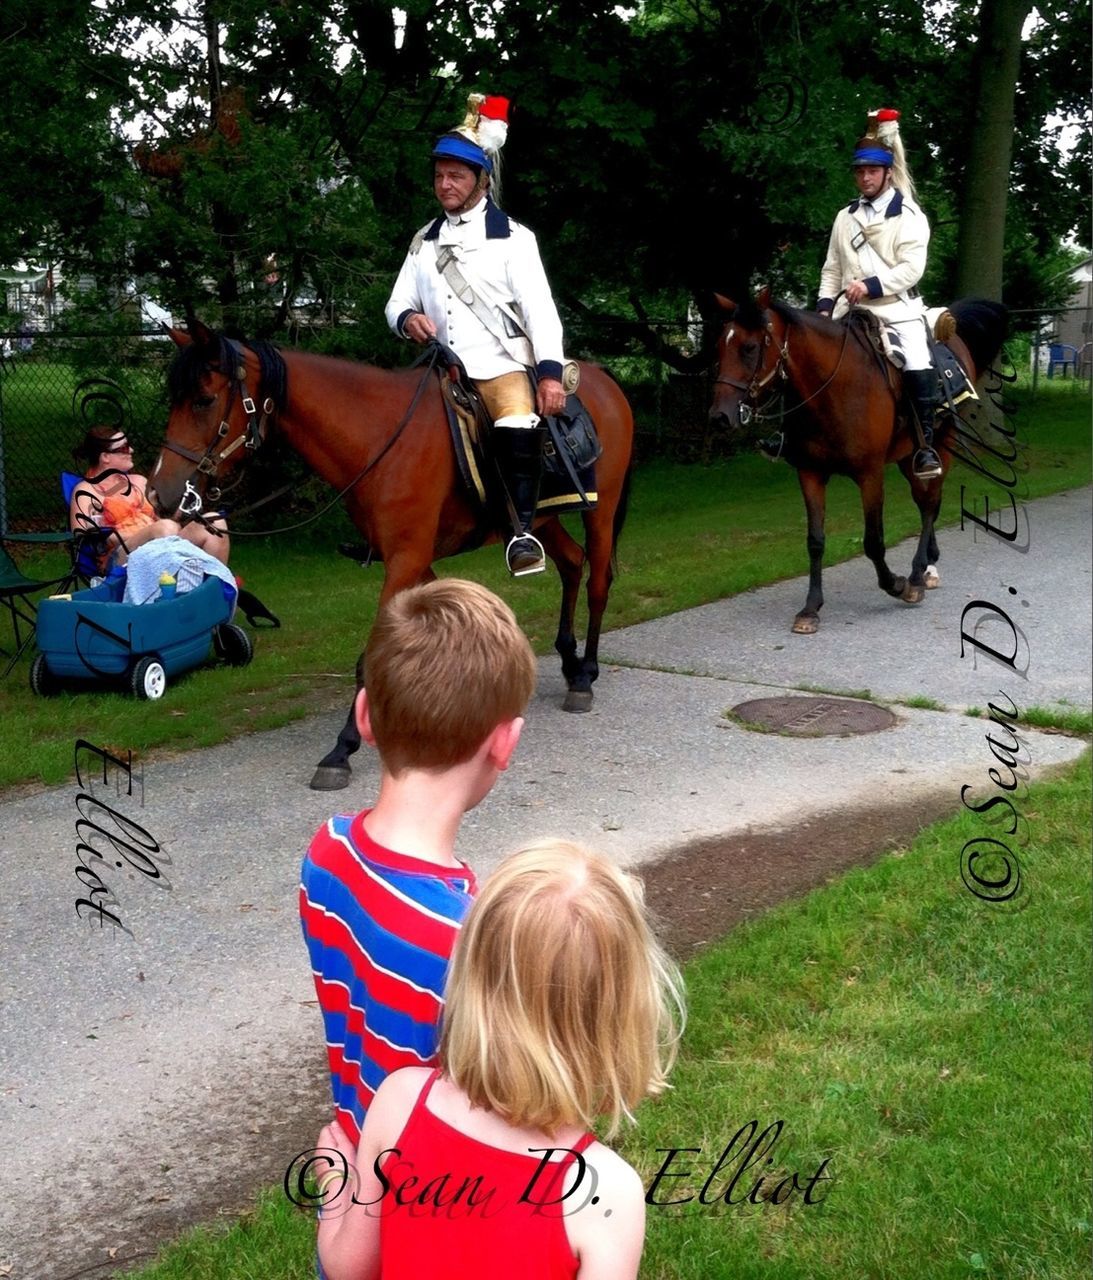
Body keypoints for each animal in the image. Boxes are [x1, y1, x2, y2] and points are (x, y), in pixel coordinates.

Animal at [149, 322, 637, 788]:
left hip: (602, 509)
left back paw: (586, 674)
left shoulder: (406, 558)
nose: (160, 494)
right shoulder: (414, 562)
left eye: (204, 400)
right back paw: (571, 662)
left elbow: (371, 658)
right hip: (541, 519)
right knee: (572, 562)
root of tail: (601, 378)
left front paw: (343, 749)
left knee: (597, 580)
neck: (379, 437)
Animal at [711, 288, 1008, 632]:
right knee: (924, 502)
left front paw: (897, 585)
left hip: (939, 448)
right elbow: (815, 541)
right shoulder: (810, 473)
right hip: (907, 457)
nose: (719, 416)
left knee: (930, 504)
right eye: (721, 346)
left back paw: (919, 573)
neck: (834, 387)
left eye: (750, 348)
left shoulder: (870, 474)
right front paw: (810, 608)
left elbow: (873, 541)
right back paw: (928, 567)